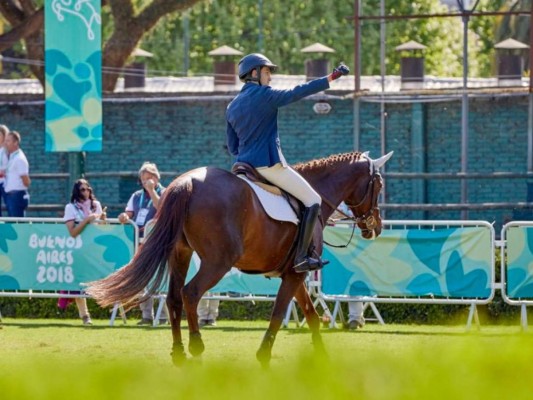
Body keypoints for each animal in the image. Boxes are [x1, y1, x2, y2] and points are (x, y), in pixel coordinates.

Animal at [84, 152, 390, 368]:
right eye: (379, 184)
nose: (375, 227)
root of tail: (186, 183)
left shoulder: (295, 273)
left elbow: (311, 315)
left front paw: (322, 356)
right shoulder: (296, 273)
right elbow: (279, 312)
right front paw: (263, 354)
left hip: (181, 253)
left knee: (173, 297)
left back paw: (179, 352)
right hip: (217, 262)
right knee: (190, 293)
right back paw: (196, 346)